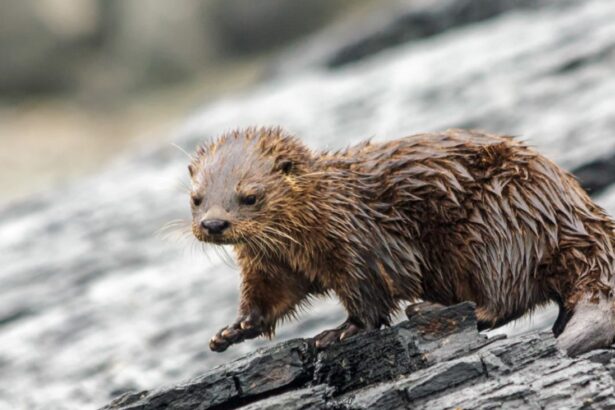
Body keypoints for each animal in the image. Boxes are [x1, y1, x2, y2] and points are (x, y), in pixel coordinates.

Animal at [188, 126, 615, 354]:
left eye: (249, 196)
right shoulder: (270, 264)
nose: (213, 223)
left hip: (496, 226)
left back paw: (433, 309)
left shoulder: (360, 241)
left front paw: (340, 331)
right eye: (196, 198)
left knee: (507, 295)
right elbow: (268, 298)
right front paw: (231, 331)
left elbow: (369, 294)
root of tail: (574, 218)